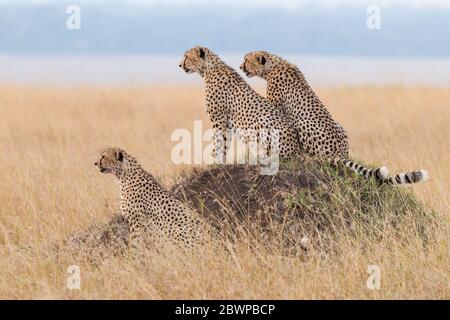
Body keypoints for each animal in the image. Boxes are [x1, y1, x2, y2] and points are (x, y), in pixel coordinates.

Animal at [241, 51, 428, 184]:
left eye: (246, 60)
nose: (240, 67)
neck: (273, 65)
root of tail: (340, 152)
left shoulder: (276, 105)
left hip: (303, 123)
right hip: (340, 126)